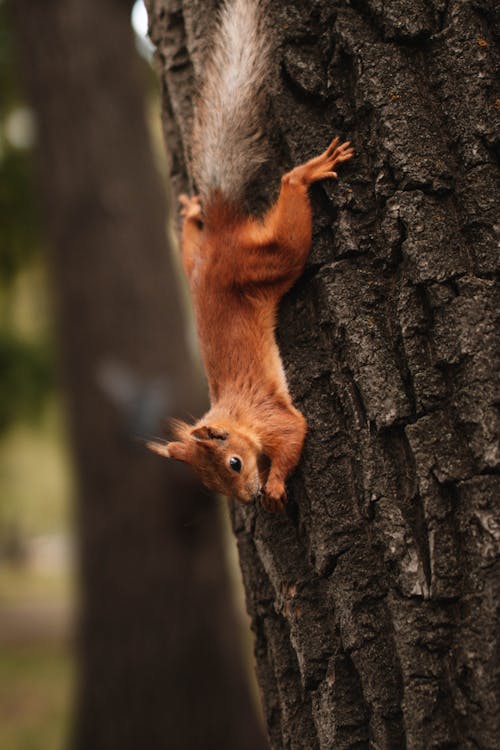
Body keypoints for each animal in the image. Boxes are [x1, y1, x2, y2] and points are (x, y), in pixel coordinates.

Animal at [146, 0, 354, 512]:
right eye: (210, 484)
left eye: (235, 464)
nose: (247, 498)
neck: (235, 416)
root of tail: (221, 235)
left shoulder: (271, 416)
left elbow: (296, 432)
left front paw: (276, 485)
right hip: (199, 261)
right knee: (190, 242)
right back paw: (190, 211)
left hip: (267, 261)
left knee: (288, 198)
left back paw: (305, 173)